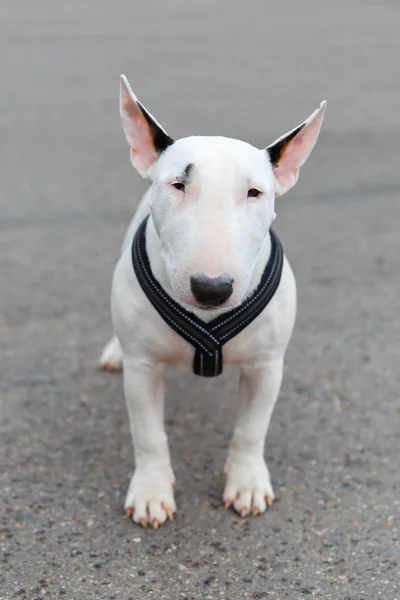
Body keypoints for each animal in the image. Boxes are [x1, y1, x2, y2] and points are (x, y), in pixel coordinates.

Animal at [99, 72, 324, 528]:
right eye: (178, 184)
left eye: (255, 193)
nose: (212, 288)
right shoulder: (143, 368)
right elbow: (148, 435)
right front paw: (152, 492)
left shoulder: (266, 366)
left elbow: (251, 430)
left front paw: (247, 483)